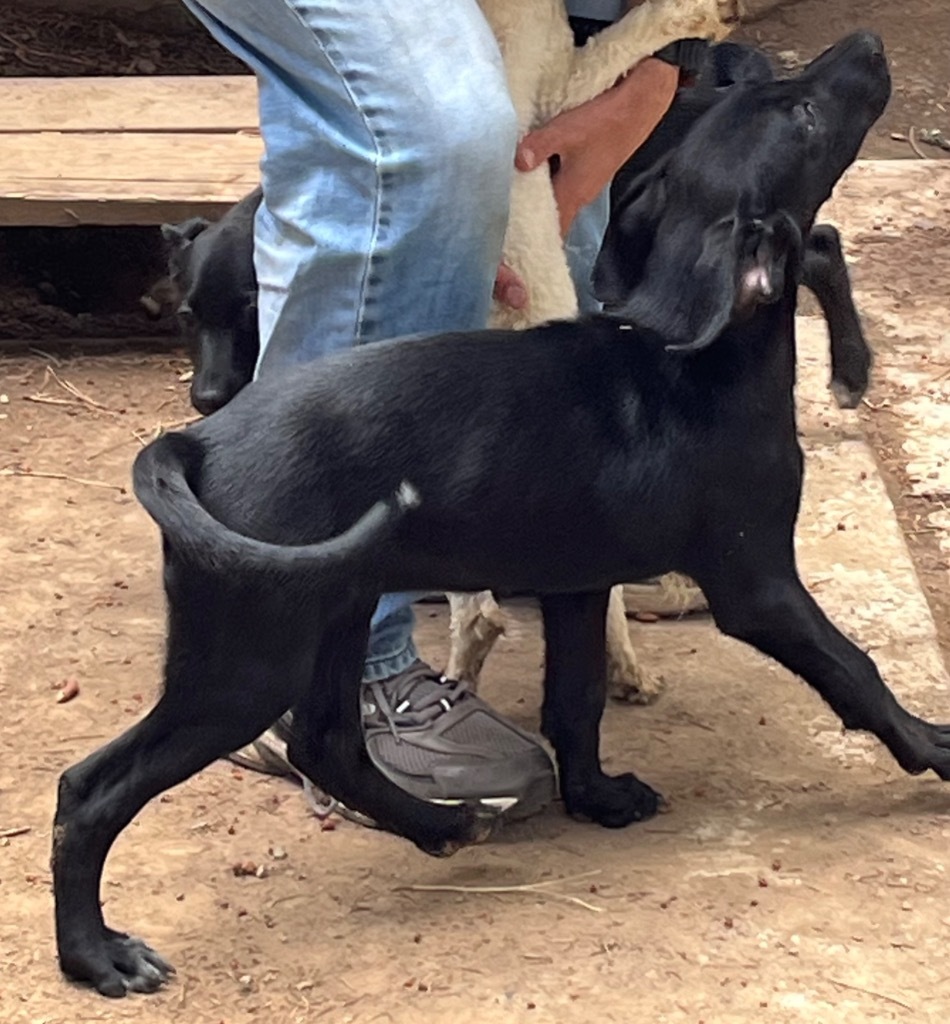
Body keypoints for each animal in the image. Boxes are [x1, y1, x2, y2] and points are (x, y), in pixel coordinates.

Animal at [53, 34, 950, 999]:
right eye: (806, 117)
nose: (865, 44)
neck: (690, 353)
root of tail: (194, 443)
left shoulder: (579, 585)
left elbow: (576, 703)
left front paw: (596, 798)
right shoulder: (758, 584)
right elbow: (855, 670)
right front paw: (934, 747)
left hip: (328, 612)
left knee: (328, 744)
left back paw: (441, 825)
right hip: (245, 659)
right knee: (90, 791)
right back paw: (95, 954)